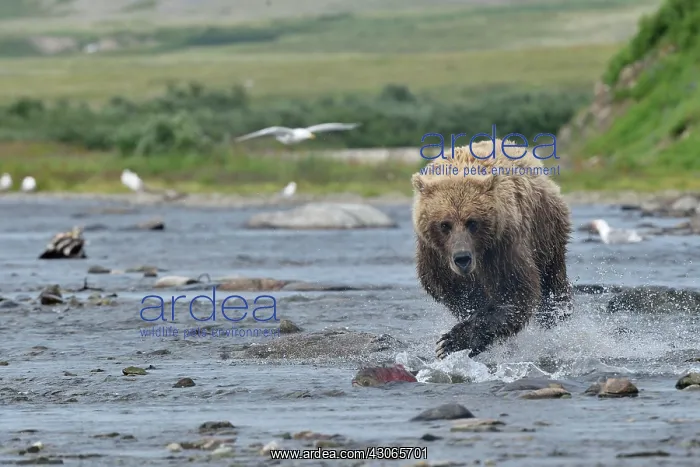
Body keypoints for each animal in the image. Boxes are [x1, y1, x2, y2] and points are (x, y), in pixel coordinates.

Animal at [411, 138, 572, 360]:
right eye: (444, 224)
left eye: (472, 222)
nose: (462, 258)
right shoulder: (435, 258)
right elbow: (459, 296)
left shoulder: (503, 245)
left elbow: (515, 293)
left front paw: (452, 341)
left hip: (546, 235)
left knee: (553, 286)